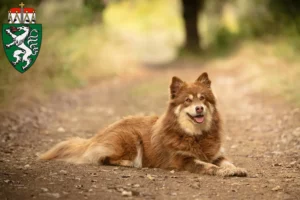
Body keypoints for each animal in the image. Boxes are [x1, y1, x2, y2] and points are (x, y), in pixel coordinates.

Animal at [39, 72, 246, 177]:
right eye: (187, 100)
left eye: (202, 98)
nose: (199, 108)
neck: (195, 135)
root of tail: (95, 137)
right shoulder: (183, 159)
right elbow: (207, 165)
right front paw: (221, 171)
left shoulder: (216, 154)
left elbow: (227, 162)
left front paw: (235, 169)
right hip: (130, 138)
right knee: (103, 158)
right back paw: (128, 163)